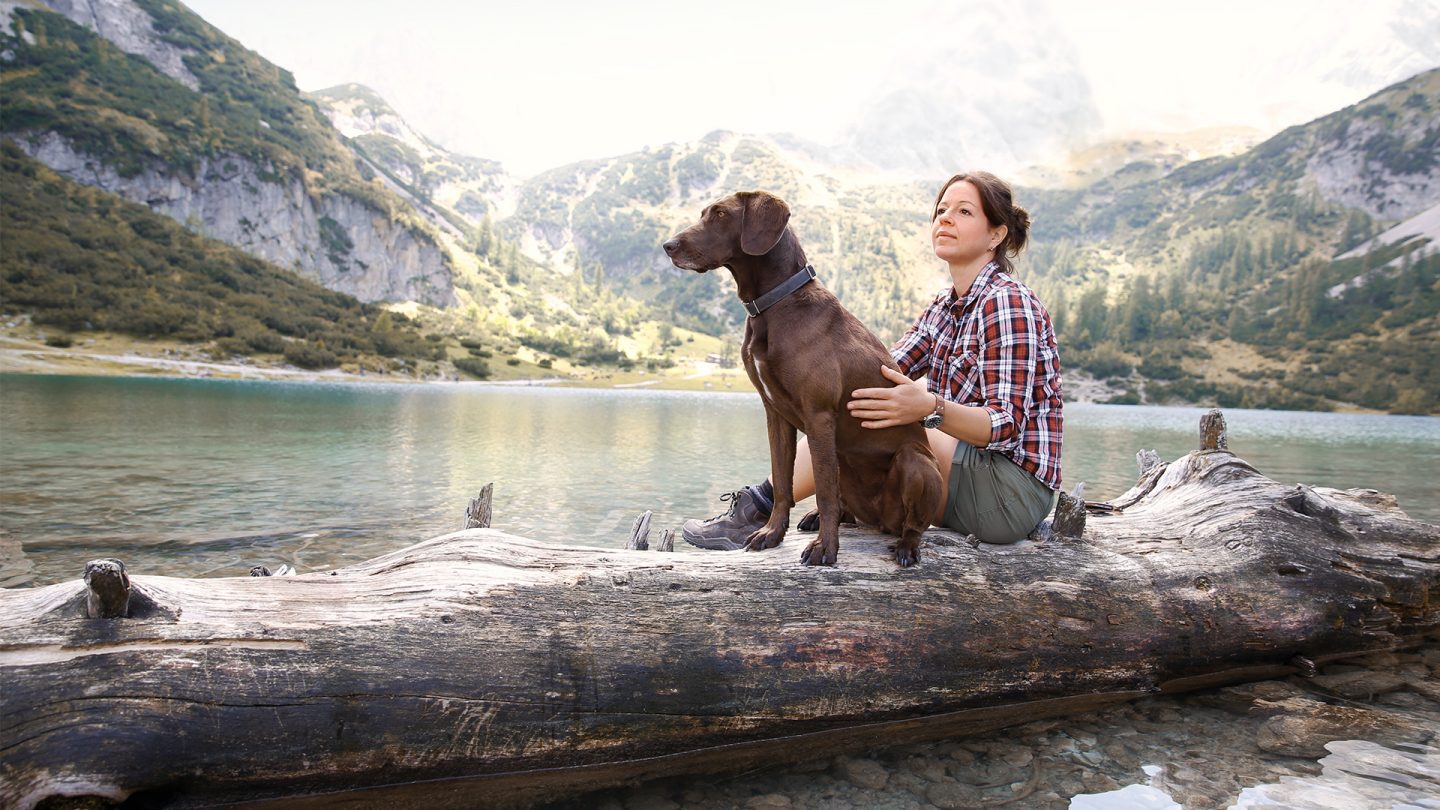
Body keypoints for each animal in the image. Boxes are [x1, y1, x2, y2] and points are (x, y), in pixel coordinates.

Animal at [659, 191, 944, 564]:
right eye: (705, 213)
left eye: (720, 215)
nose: (668, 245)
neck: (774, 304)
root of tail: (880, 521)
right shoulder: (776, 415)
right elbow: (783, 482)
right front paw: (771, 533)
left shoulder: (818, 415)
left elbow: (823, 490)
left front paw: (826, 548)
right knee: (843, 505)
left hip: (916, 463)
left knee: (913, 524)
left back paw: (906, 546)